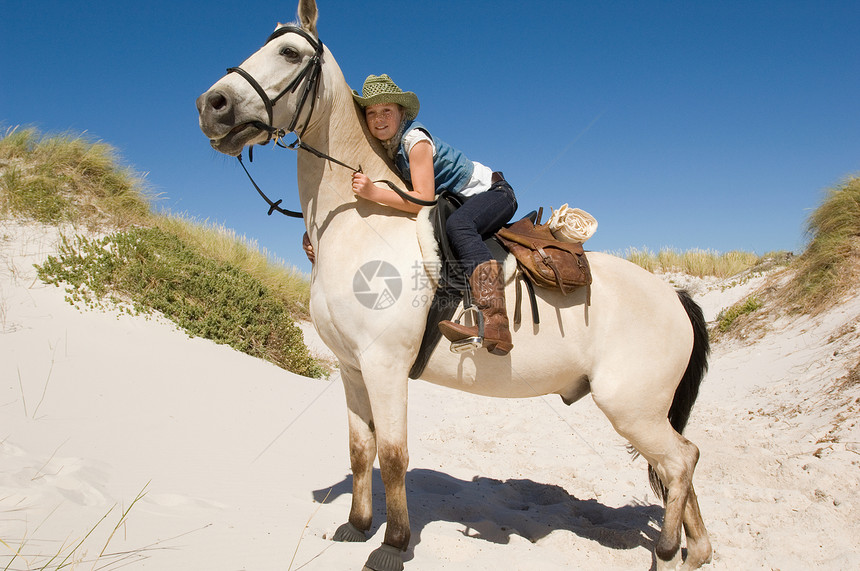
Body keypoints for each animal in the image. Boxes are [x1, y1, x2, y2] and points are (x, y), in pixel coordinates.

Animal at [195, 2, 712, 568]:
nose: (212, 105)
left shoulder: (385, 366)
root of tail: (675, 297)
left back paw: (667, 550)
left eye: (289, 52)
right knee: (678, 466)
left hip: (632, 408)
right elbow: (361, 449)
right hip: (645, 413)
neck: (361, 223)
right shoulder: (351, 369)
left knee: (681, 461)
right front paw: (357, 526)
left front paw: (393, 545)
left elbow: (393, 455)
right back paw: (696, 550)